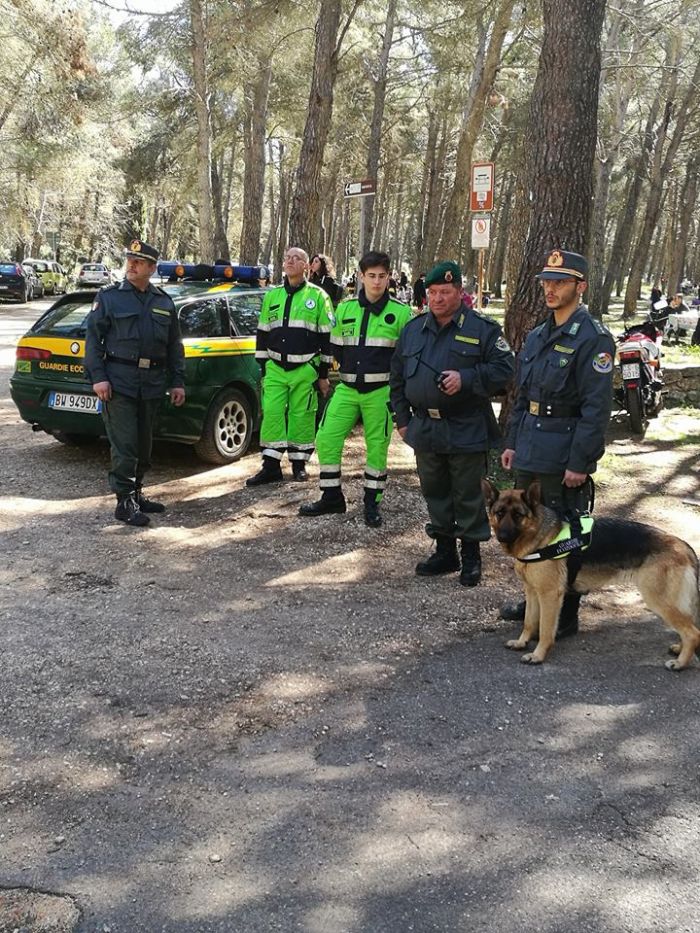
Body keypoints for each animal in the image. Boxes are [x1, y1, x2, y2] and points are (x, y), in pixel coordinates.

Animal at [482, 480, 700, 668]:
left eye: (518, 515)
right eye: (499, 513)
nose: (502, 536)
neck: (540, 538)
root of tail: (682, 545)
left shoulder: (549, 595)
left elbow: (544, 629)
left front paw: (538, 655)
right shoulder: (532, 592)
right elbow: (528, 622)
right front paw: (521, 643)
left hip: (659, 600)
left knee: (692, 632)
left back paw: (680, 663)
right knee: (690, 627)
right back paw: (680, 650)